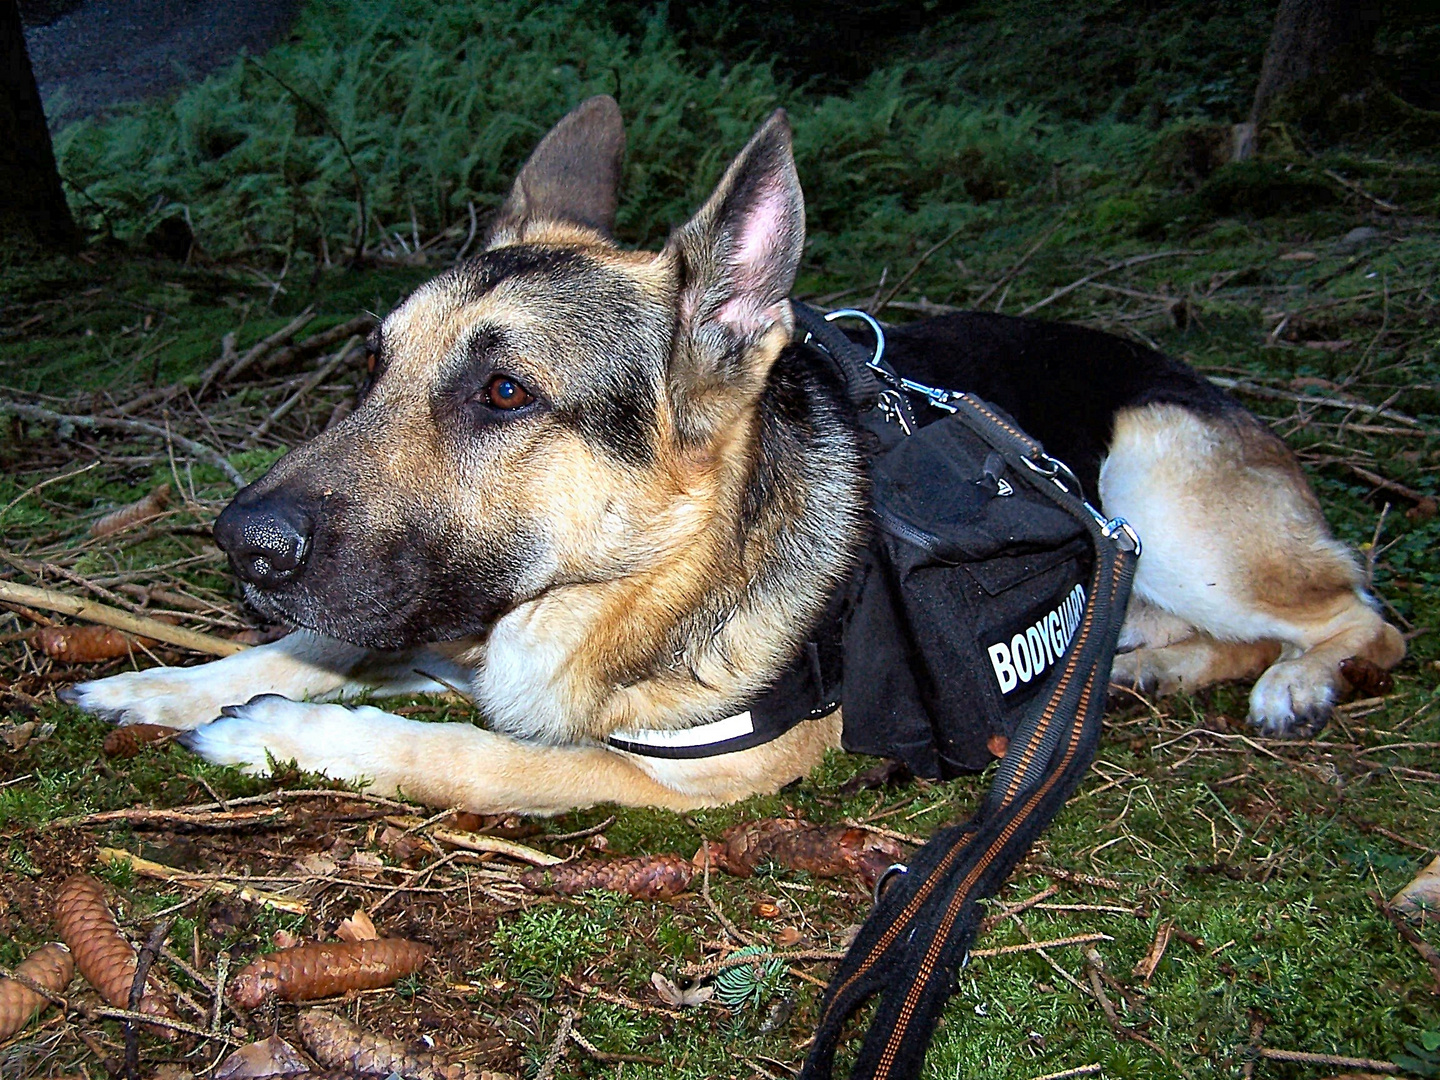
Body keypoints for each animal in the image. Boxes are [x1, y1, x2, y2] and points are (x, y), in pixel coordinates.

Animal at [64, 99, 1405, 812]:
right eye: (371, 369)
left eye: (502, 394)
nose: (238, 544)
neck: (651, 577)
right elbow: (321, 641)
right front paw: (170, 683)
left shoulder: (656, 782)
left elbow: (463, 749)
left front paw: (284, 733)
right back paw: (1147, 664)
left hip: (1151, 489)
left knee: (1364, 613)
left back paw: (1294, 680)